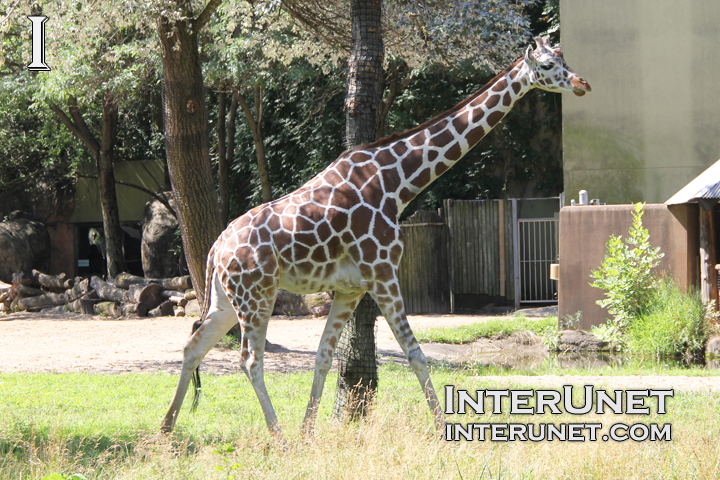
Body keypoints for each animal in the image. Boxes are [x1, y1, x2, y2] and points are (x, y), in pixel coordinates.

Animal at [162, 35, 592, 440]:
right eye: (548, 65)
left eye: (566, 59)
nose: (583, 83)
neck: (396, 184)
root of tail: (215, 250)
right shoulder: (383, 272)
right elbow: (416, 354)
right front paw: (443, 432)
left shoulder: (351, 287)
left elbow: (324, 356)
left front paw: (309, 433)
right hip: (257, 295)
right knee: (250, 360)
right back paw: (277, 437)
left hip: (226, 299)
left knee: (192, 345)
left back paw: (167, 430)